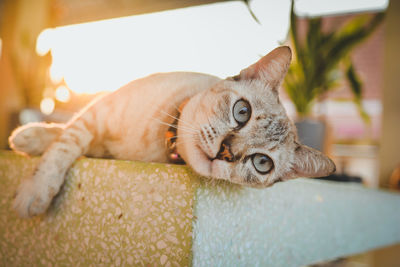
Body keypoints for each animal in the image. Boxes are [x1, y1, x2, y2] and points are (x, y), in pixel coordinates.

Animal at [8, 46, 334, 218]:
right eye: (242, 112)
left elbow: (68, 141)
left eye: (262, 163)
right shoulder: (99, 113)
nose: (226, 152)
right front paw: (34, 178)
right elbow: (64, 142)